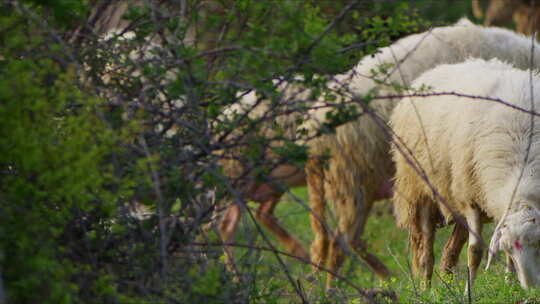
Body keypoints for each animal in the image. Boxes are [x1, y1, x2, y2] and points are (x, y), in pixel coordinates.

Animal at [390, 58, 540, 290]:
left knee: (449, 250)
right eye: (508, 248)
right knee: (426, 253)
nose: (531, 287)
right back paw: (426, 289)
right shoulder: (471, 200)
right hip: (420, 188)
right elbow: (475, 251)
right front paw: (468, 291)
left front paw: (510, 284)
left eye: (539, 245)